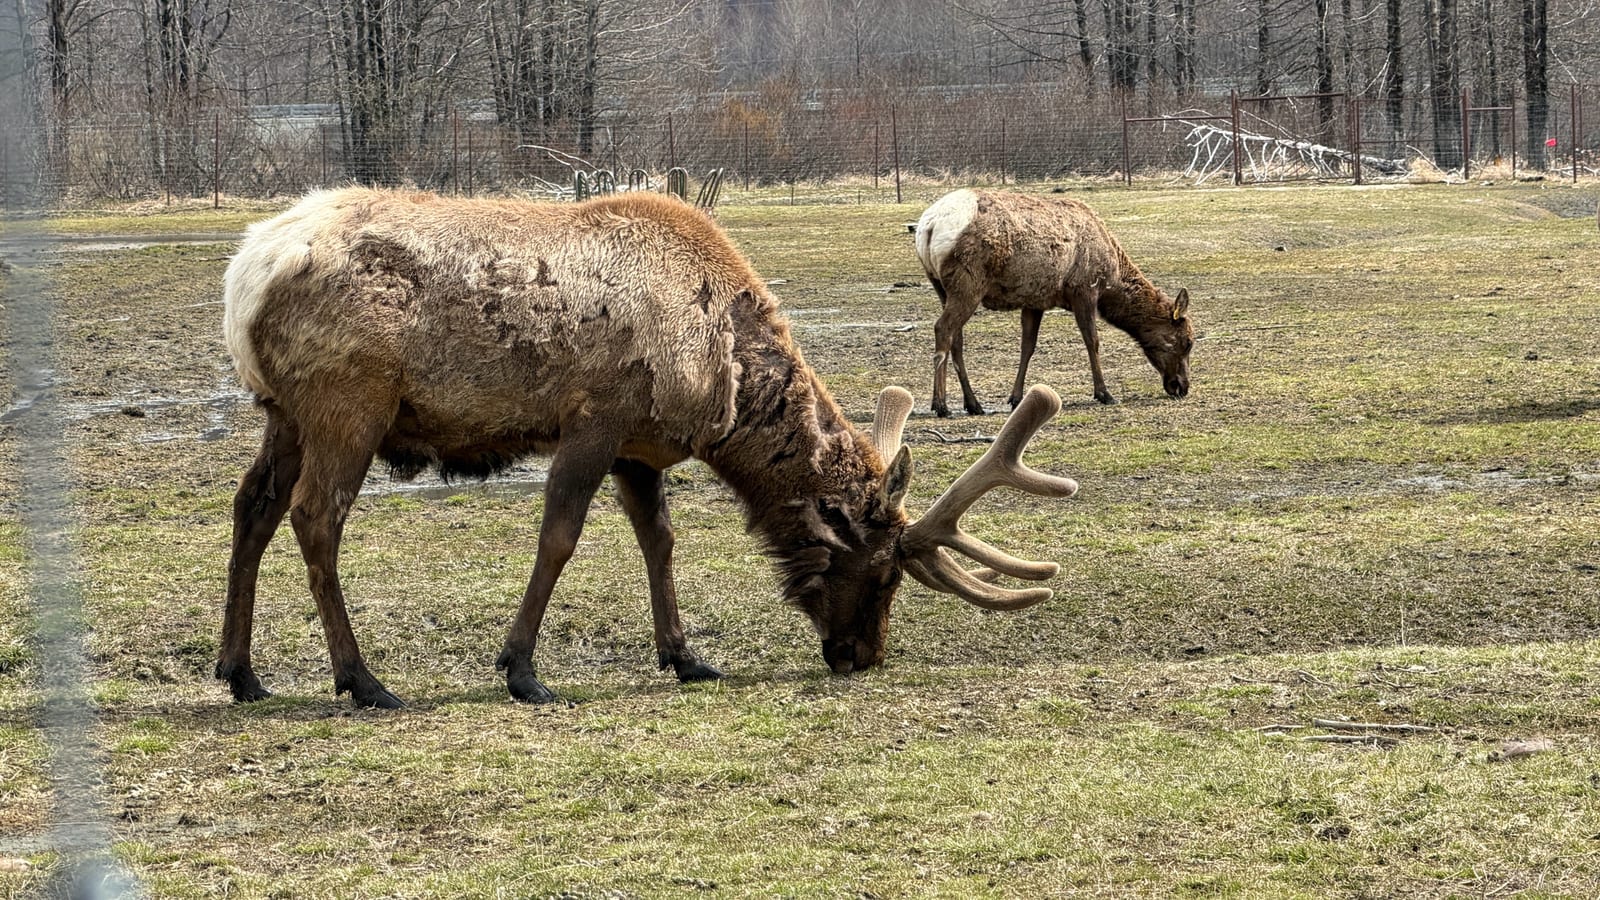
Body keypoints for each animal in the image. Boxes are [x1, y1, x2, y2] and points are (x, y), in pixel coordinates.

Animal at [218, 187, 1079, 708]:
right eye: (877, 573)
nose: (862, 654)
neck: (725, 391)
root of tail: (245, 275)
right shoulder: (595, 420)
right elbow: (560, 538)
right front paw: (522, 669)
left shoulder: (641, 446)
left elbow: (658, 541)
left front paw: (685, 655)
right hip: (349, 402)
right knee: (315, 518)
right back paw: (361, 678)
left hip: (282, 411)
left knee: (252, 506)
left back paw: (241, 672)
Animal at [914, 188, 1194, 414]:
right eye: (1187, 342)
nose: (1181, 386)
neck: (1112, 279)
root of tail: (928, 227)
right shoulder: (1085, 289)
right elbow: (1092, 341)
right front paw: (1104, 393)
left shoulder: (1034, 300)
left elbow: (1027, 346)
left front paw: (1015, 397)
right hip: (968, 283)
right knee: (943, 328)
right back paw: (940, 404)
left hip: (940, 286)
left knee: (956, 339)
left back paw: (973, 404)